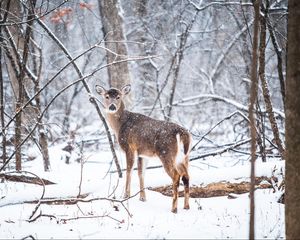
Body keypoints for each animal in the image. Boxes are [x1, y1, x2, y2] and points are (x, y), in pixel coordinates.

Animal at [95, 83, 191, 213]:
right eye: (107, 96)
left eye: (119, 97)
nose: (112, 107)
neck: (119, 125)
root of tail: (181, 132)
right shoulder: (142, 153)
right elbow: (141, 173)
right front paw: (142, 198)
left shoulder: (129, 147)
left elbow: (129, 170)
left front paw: (126, 195)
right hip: (184, 157)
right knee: (186, 176)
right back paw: (186, 206)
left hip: (166, 153)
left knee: (176, 175)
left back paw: (174, 208)